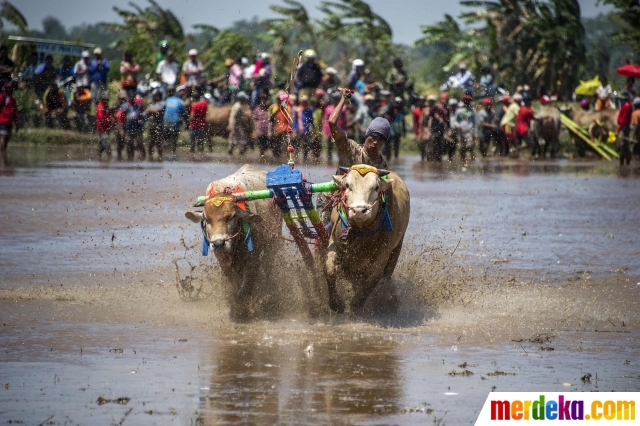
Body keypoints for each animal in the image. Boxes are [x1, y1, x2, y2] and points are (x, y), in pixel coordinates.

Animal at [324, 165, 410, 314]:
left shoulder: (382, 255)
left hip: (397, 248)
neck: (360, 231)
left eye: (376, 187)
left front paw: (355, 305)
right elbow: (329, 269)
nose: (359, 211)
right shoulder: (335, 242)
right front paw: (336, 304)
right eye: (347, 185)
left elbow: (372, 280)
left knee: (385, 278)